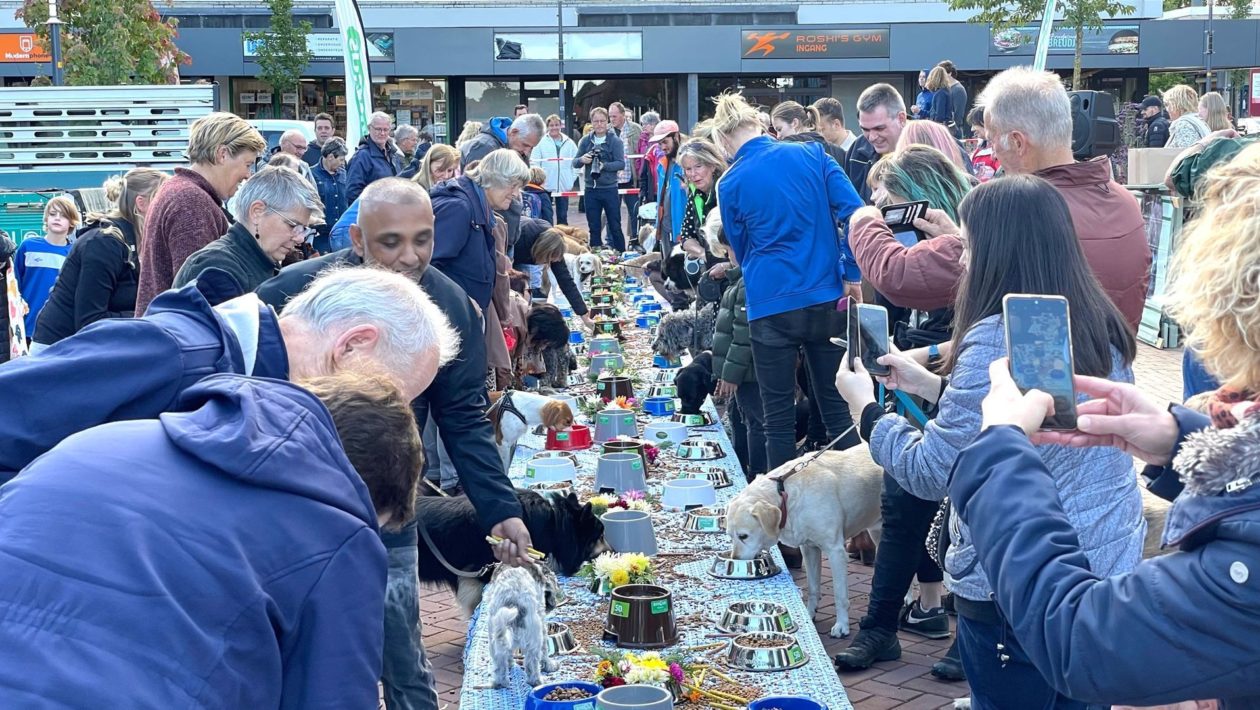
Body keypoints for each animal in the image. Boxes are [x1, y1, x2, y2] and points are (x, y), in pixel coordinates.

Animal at [481, 562, 561, 691]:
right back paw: (539, 681)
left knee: (500, 664)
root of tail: (512, 601)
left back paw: (501, 682)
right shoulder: (541, 619)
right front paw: (550, 665)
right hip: (534, 637)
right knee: (532, 666)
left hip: (495, 637)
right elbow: (545, 651)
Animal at [725, 448, 882, 638]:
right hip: (876, 532)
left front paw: (842, 625)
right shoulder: (809, 548)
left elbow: (839, 594)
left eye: (744, 536)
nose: (735, 560)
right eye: (730, 536)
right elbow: (813, 588)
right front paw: (809, 614)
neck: (785, 495)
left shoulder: (835, 551)